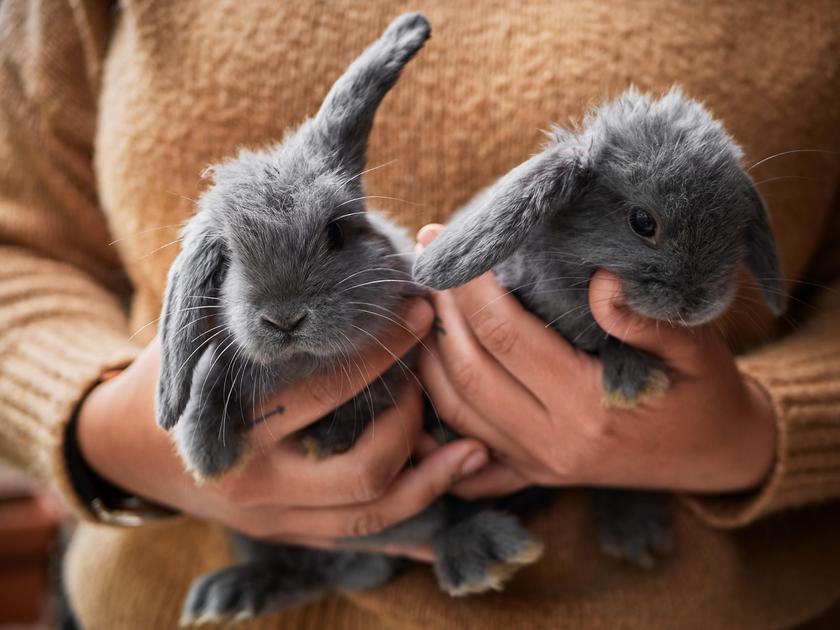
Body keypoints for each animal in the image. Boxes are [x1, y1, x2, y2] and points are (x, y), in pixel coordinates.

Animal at [156, 14, 545, 626]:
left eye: (335, 233)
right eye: (227, 260)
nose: (284, 318)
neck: (302, 364)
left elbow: (378, 394)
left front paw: (330, 437)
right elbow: (214, 370)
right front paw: (208, 454)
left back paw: (480, 556)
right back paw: (230, 594)